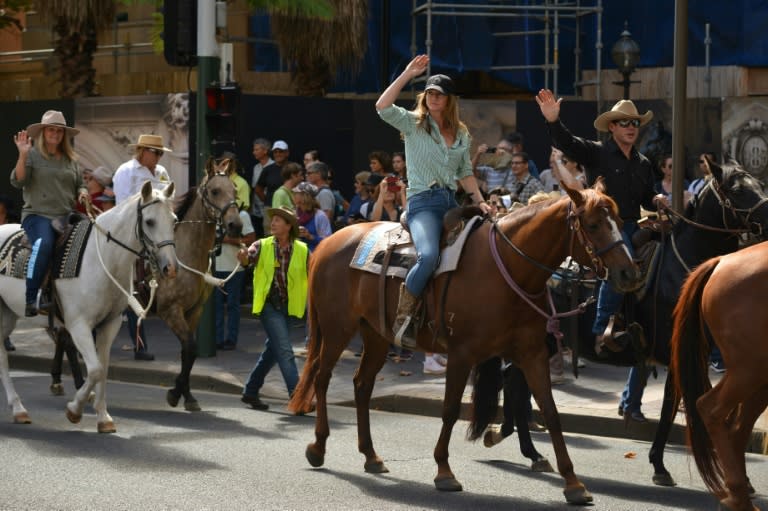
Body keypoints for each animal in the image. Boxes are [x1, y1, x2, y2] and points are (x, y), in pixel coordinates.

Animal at [0, 182, 177, 434]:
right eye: (150, 221)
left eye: (173, 220)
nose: (170, 267)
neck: (103, 260)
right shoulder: (78, 325)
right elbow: (94, 370)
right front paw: (74, 410)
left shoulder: (109, 324)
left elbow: (102, 369)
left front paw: (103, 417)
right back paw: (18, 408)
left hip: (8, 313)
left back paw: (19, 410)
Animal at [288, 180, 640, 504]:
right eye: (592, 225)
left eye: (619, 220)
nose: (628, 274)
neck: (509, 268)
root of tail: (329, 242)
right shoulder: (461, 354)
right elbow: (450, 410)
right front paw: (444, 472)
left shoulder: (532, 354)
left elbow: (551, 413)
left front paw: (573, 483)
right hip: (337, 328)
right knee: (321, 378)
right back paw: (318, 446)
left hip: (375, 333)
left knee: (362, 385)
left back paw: (370, 455)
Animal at [668, 241, 768, 511]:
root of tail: (722, 261)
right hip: (749, 368)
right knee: (710, 409)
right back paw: (737, 495)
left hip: (755, 374)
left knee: (737, 428)